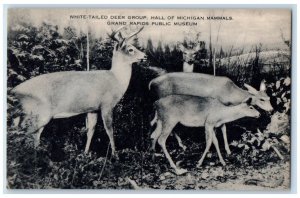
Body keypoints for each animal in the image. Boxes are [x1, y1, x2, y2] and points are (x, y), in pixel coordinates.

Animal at [11, 25, 147, 156]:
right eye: (130, 49)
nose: (145, 56)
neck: (116, 79)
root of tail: (14, 91)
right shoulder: (107, 105)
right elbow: (110, 130)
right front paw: (115, 155)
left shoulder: (93, 109)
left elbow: (90, 131)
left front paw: (85, 153)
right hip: (38, 114)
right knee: (26, 135)